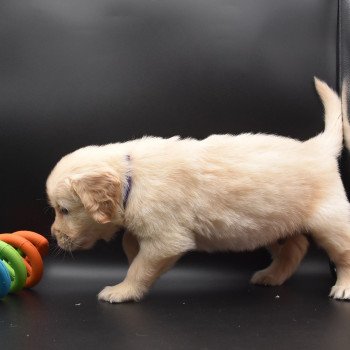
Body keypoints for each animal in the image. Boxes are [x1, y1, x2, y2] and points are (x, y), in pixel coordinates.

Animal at [46, 78, 350, 302]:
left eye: (64, 210)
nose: (54, 236)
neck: (132, 178)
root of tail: (317, 147)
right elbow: (131, 245)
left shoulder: (167, 239)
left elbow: (141, 267)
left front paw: (122, 290)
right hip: (274, 221)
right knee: (295, 248)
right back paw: (271, 276)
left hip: (330, 220)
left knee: (342, 251)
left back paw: (343, 287)